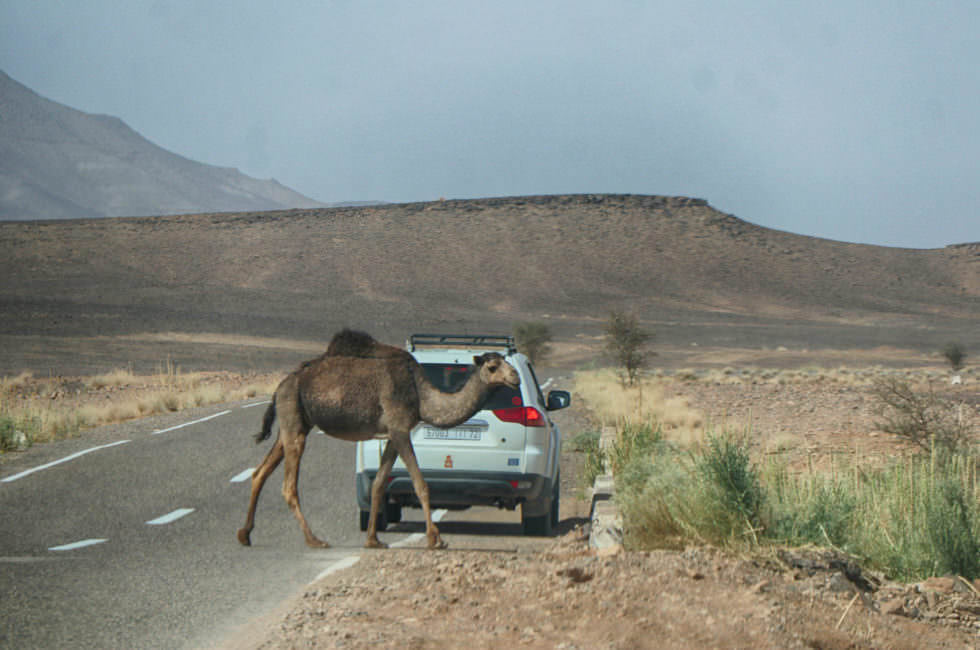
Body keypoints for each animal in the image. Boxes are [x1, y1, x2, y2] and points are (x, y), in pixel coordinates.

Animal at [237, 330, 520, 548]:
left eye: (508, 363)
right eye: (493, 367)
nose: (515, 378)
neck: (420, 396)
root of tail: (281, 386)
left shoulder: (393, 434)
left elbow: (379, 484)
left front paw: (373, 540)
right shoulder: (400, 429)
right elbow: (420, 484)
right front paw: (436, 539)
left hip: (295, 423)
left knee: (260, 472)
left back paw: (245, 534)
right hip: (294, 419)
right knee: (288, 486)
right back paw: (314, 540)